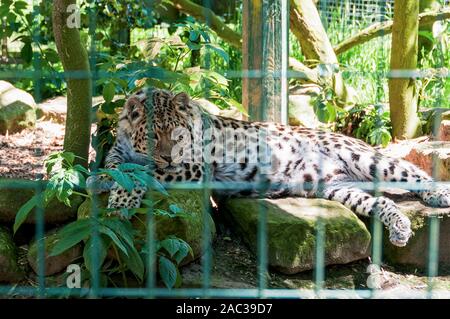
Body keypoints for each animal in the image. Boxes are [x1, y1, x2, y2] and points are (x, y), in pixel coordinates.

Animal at [99, 87, 450, 248]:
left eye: (180, 136)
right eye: (153, 137)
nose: (170, 157)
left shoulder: (194, 168)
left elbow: (141, 172)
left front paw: (121, 200)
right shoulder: (118, 150)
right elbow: (112, 164)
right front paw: (105, 181)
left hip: (366, 158)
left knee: (414, 172)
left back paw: (439, 195)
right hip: (337, 188)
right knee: (383, 201)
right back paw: (400, 228)